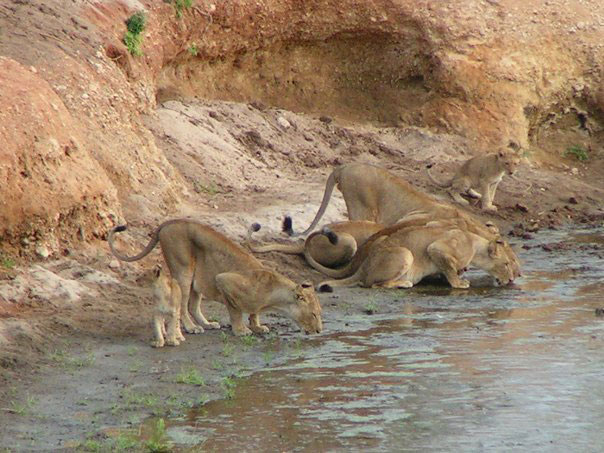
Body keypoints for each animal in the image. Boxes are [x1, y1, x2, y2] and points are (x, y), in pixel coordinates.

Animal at [108, 219, 326, 336]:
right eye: (314, 314)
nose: (319, 331)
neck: (274, 296)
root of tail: (170, 222)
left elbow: (253, 312)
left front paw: (257, 326)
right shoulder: (224, 280)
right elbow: (235, 311)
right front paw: (241, 330)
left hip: (197, 277)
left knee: (193, 305)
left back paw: (207, 324)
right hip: (183, 269)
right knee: (183, 305)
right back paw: (192, 327)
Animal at [312, 222, 516, 290]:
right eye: (507, 264)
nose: (512, 279)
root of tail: (364, 266)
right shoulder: (436, 248)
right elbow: (449, 268)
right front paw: (459, 283)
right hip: (405, 253)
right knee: (372, 284)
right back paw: (404, 283)